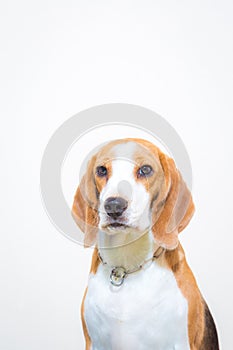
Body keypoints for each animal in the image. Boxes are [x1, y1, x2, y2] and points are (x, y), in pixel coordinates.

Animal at [72, 138, 219, 348]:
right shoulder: (94, 343)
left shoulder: (179, 343)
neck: (125, 267)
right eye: (101, 170)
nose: (113, 206)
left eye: (146, 169)